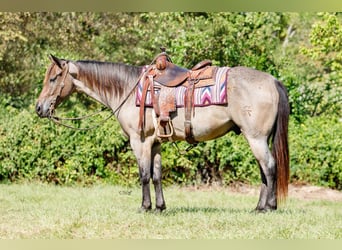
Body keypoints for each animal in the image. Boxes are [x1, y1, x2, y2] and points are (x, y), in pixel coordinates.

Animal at [35, 53, 288, 212]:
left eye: (54, 78)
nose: (39, 108)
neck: (127, 90)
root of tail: (273, 81)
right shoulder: (155, 143)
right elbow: (156, 175)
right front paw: (160, 207)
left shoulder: (140, 141)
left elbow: (144, 175)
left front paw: (145, 207)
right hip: (258, 139)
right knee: (263, 171)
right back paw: (258, 207)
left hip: (256, 138)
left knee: (269, 167)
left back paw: (269, 207)